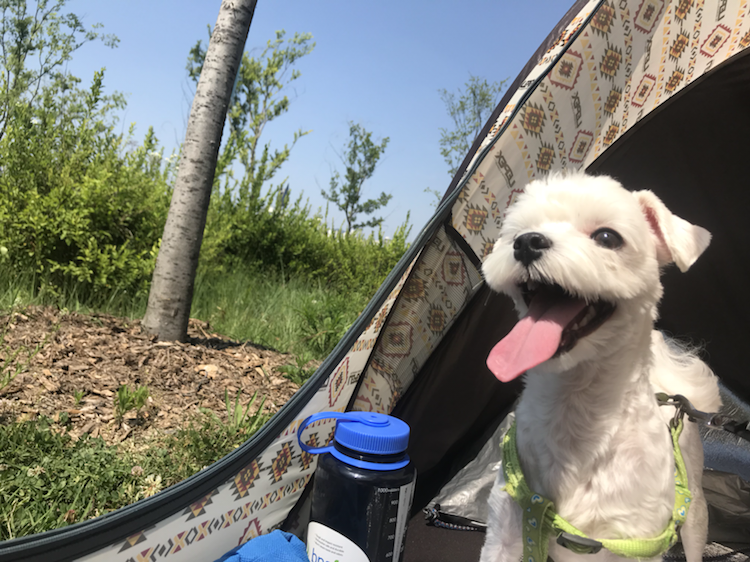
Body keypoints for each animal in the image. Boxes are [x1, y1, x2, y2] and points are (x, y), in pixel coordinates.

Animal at [478, 173, 720, 562]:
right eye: (514, 232)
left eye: (608, 237)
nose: (527, 242)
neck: (574, 409)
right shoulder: (509, 532)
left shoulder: (633, 545)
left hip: (693, 506)